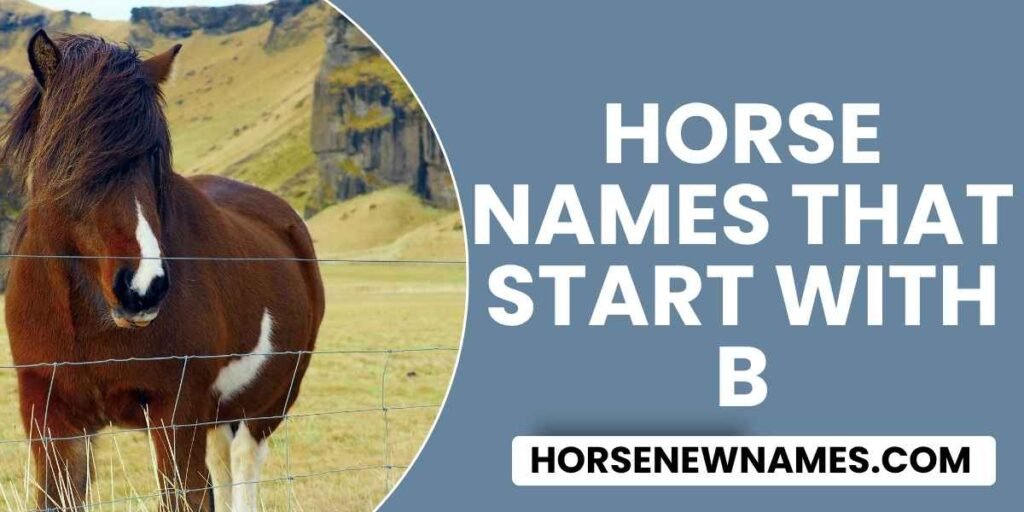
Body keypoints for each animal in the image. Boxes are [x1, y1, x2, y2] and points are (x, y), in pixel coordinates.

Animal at [0, 31, 325, 511]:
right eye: (70, 156)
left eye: (155, 156)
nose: (143, 289)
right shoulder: (52, 419)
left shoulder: (176, 415)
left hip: (268, 403)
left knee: (244, 463)